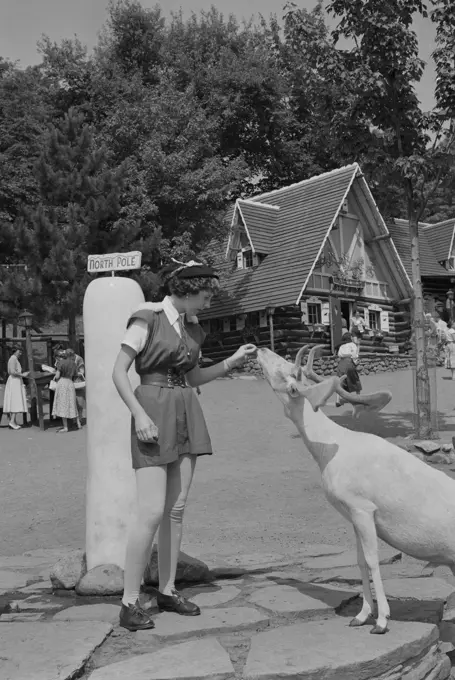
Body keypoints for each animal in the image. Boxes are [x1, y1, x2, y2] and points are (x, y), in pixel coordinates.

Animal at [258, 348, 455, 636]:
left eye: (284, 370)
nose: (260, 349)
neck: (331, 451)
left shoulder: (362, 507)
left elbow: (373, 560)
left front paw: (382, 621)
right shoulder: (352, 514)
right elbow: (360, 560)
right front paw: (361, 616)